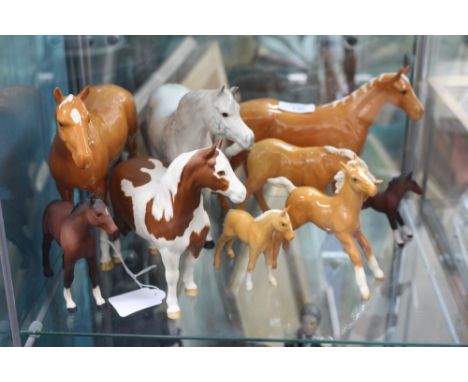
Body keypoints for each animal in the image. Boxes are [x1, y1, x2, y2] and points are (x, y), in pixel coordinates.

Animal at [109, 143, 245, 320]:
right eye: (221, 172)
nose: (243, 193)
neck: (173, 214)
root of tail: (126, 162)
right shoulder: (170, 254)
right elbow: (173, 277)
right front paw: (173, 308)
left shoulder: (196, 245)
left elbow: (190, 265)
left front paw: (190, 287)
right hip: (119, 218)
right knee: (115, 231)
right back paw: (114, 258)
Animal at [270, 158, 384, 302]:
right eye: (354, 179)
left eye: (365, 171)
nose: (374, 190)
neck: (344, 209)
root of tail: (293, 189)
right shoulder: (343, 235)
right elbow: (356, 256)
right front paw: (364, 291)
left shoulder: (356, 232)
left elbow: (367, 247)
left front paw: (379, 273)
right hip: (295, 221)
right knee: (278, 235)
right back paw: (273, 263)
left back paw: (286, 247)